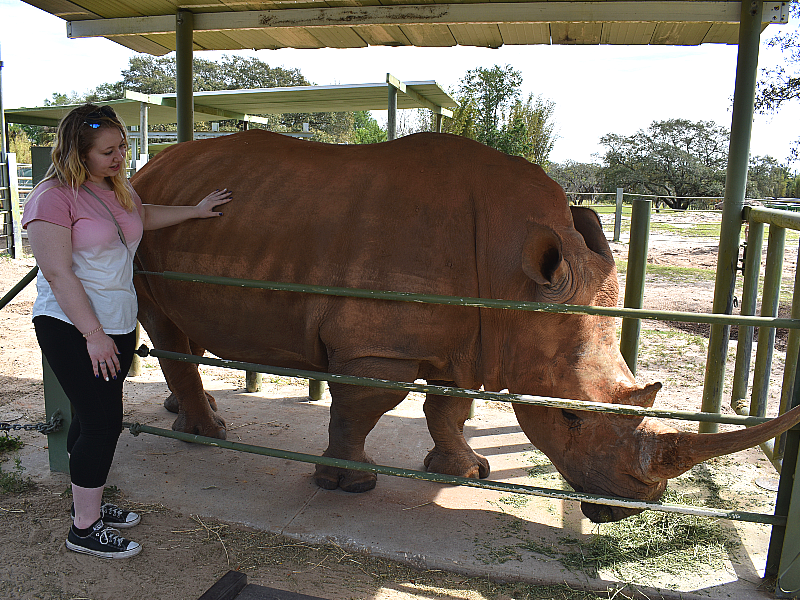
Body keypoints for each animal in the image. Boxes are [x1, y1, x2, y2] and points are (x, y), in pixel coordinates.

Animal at [131, 130, 800, 522]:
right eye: (570, 417)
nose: (632, 506)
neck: (513, 280)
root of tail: (151, 166)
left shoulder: (472, 336)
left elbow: (449, 406)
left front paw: (465, 472)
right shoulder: (376, 344)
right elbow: (365, 403)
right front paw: (347, 485)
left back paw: (192, 417)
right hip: (135, 222)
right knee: (162, 325)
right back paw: (206, 436)